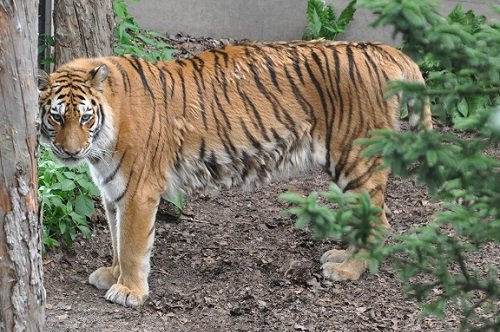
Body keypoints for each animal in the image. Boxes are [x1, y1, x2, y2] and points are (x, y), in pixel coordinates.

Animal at [38, 40, 430, 308]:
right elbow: (117, 242)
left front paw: (129, 291)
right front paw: (112, 275)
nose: (70, 152)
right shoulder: (113, 192)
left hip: (357, 158)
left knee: (380, 220)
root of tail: (382, 49)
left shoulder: (138, 192)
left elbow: (133, 245)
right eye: (56, 117)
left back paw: (348, 270)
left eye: (84, 117)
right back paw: (340, 256)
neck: (102, 142)